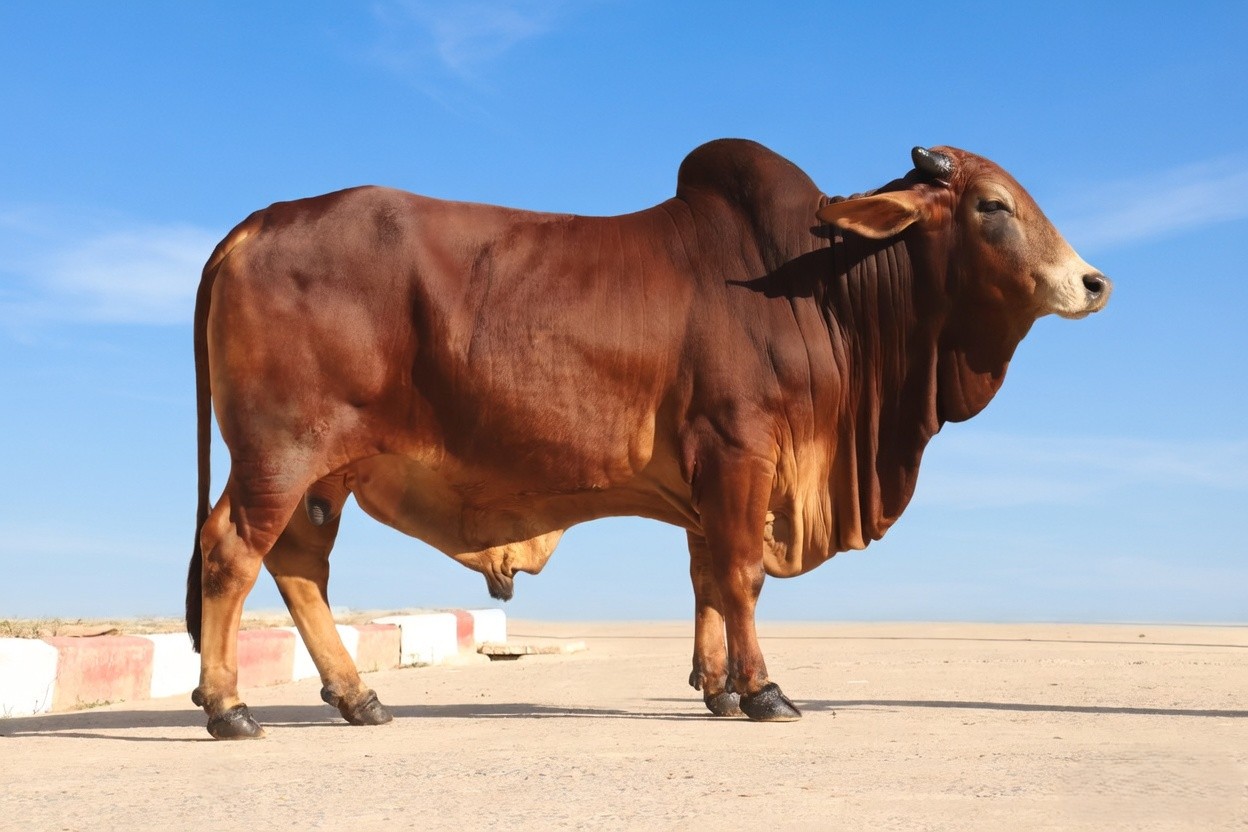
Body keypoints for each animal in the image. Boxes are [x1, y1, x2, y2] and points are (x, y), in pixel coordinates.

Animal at [186, 139, 1110, 738]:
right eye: (993, 206)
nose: (1092, 282)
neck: (827, 292)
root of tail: (257, 223)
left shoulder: (714, 478)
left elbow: (708, 580)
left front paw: (718, 689)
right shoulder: (741, 449)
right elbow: (740, 576)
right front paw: (764, 692)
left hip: (325, 472)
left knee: (299, 567)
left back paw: (357, 698)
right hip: (281, 453)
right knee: (233, 551)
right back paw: (229, 707)